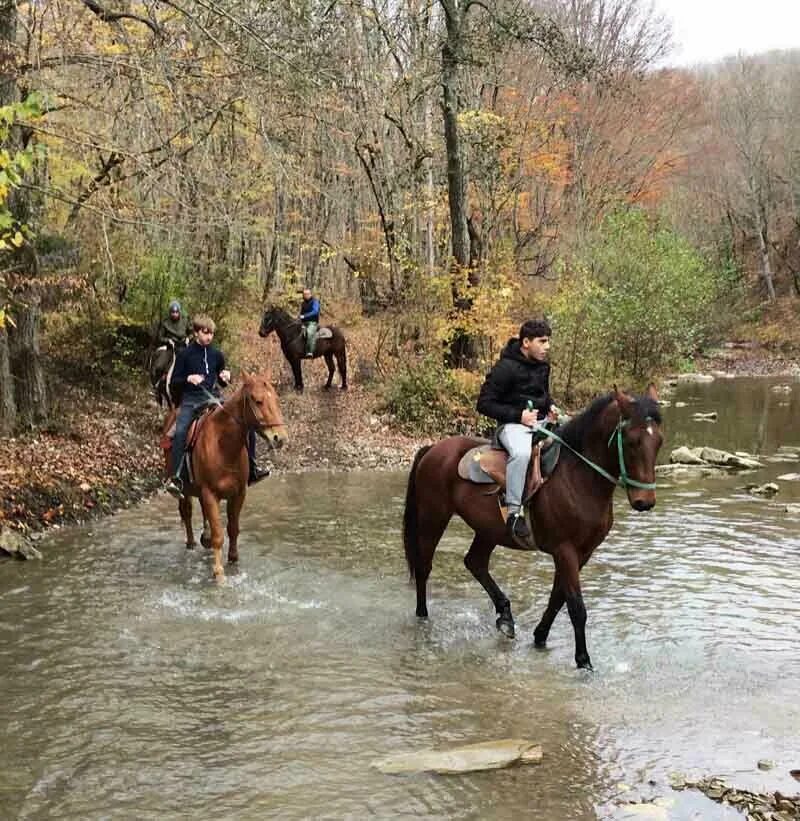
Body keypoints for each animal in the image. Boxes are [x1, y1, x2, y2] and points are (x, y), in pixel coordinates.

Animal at [161, 370, 290, 576]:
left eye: (276, 399)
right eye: (258, 400)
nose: (280, 438)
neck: (223, 445)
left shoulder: (238, 494)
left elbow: (233, 529)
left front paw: (233, 561)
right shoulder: (210, 493)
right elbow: (218, 535)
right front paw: (219, 573)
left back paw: (204, 538)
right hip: (185, 488)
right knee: (187, 512)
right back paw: (191, 544)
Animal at [400, 384, 664, 668]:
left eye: (659, 441)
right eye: (631, 441)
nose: (645, 501)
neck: (578, 476)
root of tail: (433, 448)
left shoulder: (583, 552)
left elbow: (558, 597)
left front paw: (540, 636)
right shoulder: (565, 550)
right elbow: (576, 607)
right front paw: (583, 661)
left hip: (489, 530)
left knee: (475, 562)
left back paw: (505, 617)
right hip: (433, 517)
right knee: (424, 567)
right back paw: (423, 617)